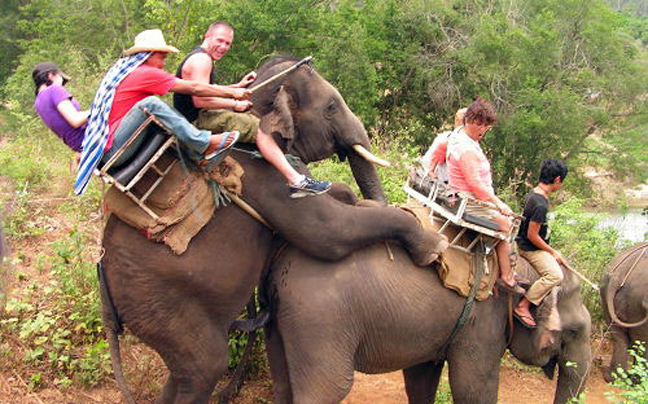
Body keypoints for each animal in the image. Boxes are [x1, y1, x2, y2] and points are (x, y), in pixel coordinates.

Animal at [100, 56, 448, 403]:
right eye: (331, 107)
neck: (256, 103)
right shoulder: (266, 176)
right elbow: (326, 233)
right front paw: (434, 247)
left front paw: (350, 197)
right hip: (158, 301)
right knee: (204, 366)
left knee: (181, 373)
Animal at [263, 218, 592, 404]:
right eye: (574, 331)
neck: (520, 265)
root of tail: (280, 259)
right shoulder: (483, 326)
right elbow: (473, 390)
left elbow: (421, 380)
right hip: (321, 320)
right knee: (329, 388)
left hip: (285, 318)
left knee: (283, 383)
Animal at [600, 242, 648, 382]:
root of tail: (618, 276)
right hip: (638, 303)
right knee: (642, 343)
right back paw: (637, 381)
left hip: (605, 294)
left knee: (618, 336)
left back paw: (614, 377)